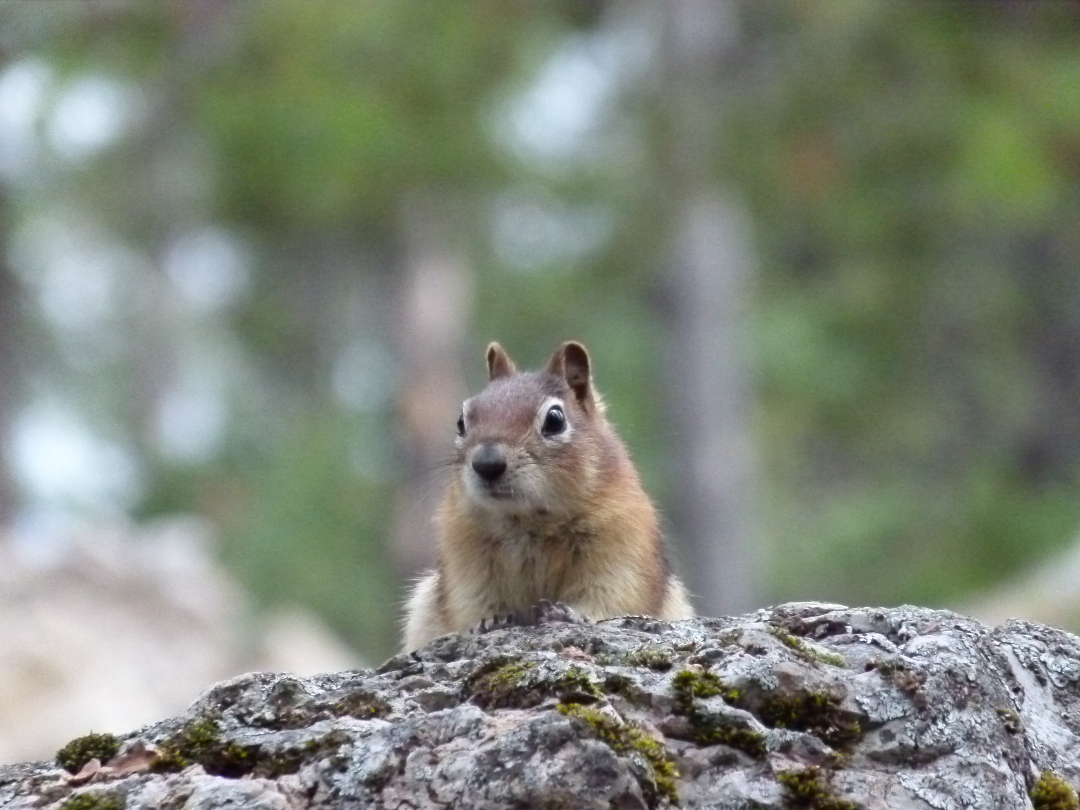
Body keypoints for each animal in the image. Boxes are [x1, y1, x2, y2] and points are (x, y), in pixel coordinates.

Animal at [401, 343, 695, 652]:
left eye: (555, 420)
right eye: (461, 421)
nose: (487, 463)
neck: (528, 521)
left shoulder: (622, 549)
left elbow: (610, 597)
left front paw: (569, 614)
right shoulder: (465, 561)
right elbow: (471, 603)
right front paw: (489, 622)